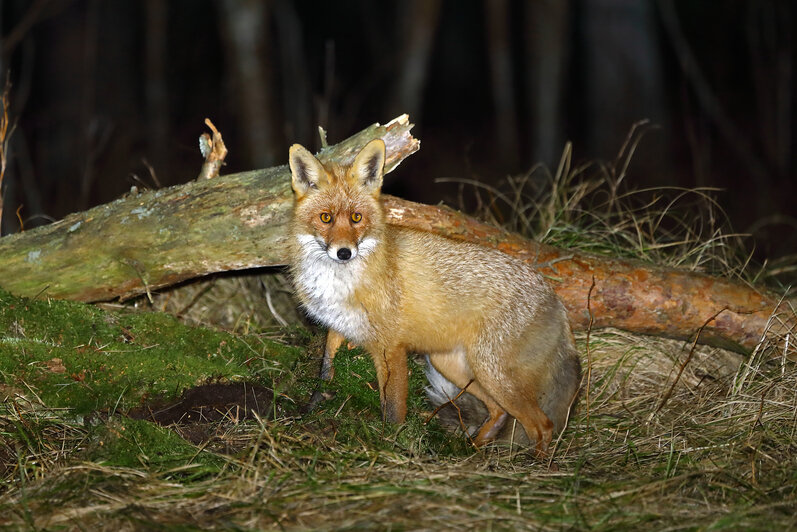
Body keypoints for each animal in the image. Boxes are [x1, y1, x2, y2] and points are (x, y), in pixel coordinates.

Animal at [286, 139, 580, 450]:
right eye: (325, 218)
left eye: (356, 218)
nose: (344, 252)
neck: (340, 283)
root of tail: (556, 299)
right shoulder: (338, 326)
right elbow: (324, 373)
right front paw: (311, 410)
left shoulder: (391, 347)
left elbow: (392, 409)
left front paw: (390, 445)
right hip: (454, 366)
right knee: (499, 412)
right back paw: (473, 451)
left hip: (492, 373)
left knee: (543, 425)